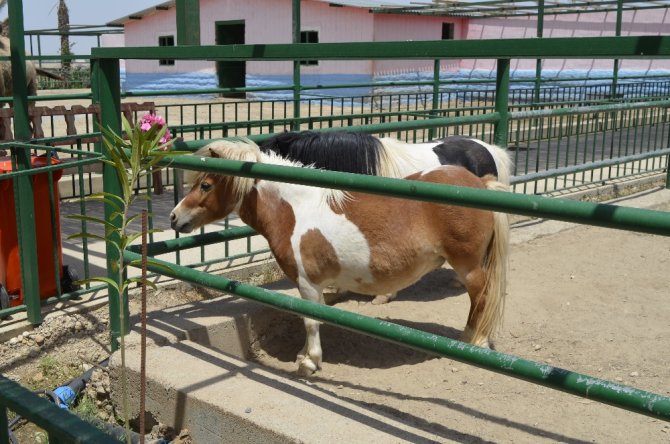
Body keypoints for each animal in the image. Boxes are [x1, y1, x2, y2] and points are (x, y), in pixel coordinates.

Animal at [171, 139, 512, 374]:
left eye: (205, 184)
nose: (174, 218)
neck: (296, 210)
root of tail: (480, 183)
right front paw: (303, 355)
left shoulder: (307, 283)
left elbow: (310, 320)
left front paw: (309, 363)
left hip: (469, 267)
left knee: (481, 297)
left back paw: (473, 341)